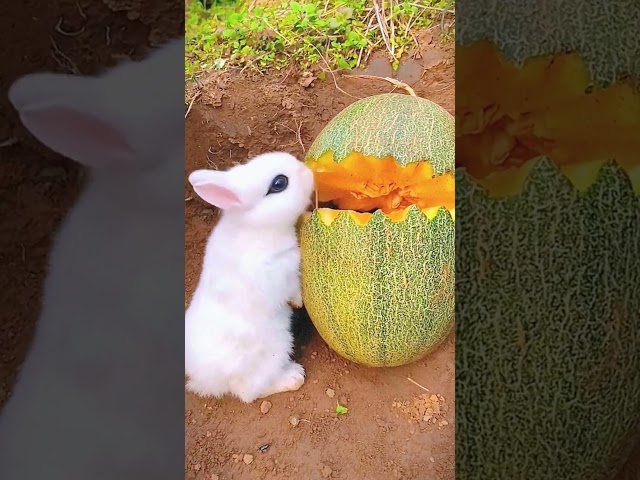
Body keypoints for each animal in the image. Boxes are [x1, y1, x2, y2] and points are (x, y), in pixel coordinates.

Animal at [185, 152, 316, 404]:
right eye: (279, 183)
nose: (309, 171)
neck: (256, 226)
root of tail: (206, 378)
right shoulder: (279, 272)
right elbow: (292, 289)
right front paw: (299, 303)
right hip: (275, 347)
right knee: (248, 392)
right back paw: (293, 377)